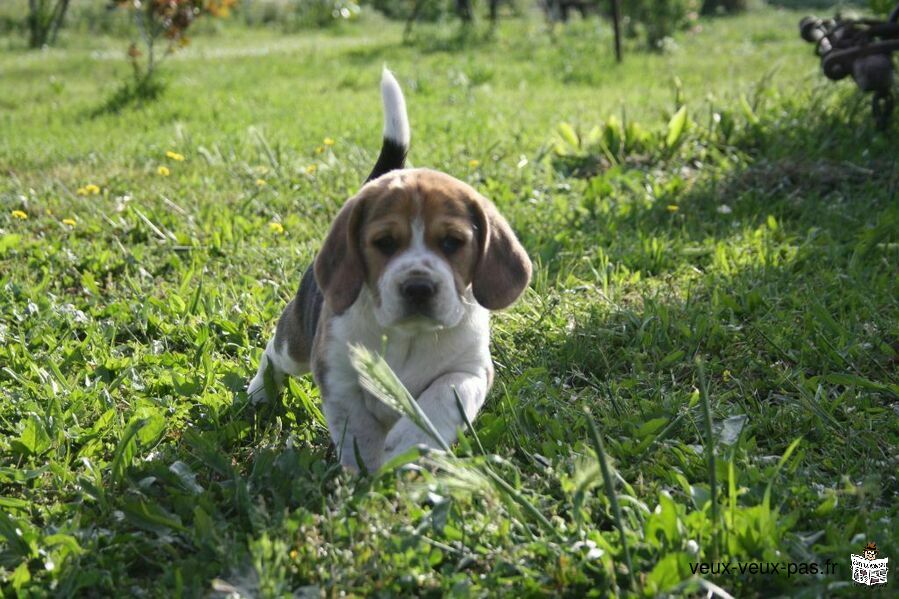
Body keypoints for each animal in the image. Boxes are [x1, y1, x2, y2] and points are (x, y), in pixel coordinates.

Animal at [246, 70, 532, 474]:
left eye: (452, 243)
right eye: (384, 242)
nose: (418, 287)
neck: (407, 336)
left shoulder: (471, 370)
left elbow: (443, 398)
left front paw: (411, 441)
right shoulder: (339, 374)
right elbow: (357, 429)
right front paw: (367, 472)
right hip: (297, 345)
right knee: (274, 353)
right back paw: (260, 390)